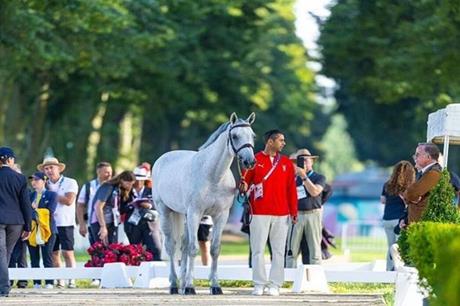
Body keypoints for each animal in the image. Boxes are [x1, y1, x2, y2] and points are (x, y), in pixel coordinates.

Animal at [153, 113, 256, 294]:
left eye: (253, 136)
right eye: (235, 136)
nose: (249, 161)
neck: (213, 176)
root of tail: (162, 159)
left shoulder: (221, 215)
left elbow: (215, 249)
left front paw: (215, 286)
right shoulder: (195, 213)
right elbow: (193, 249)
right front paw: (190, 287)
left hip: (183, 215)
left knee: (184, 245)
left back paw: (181, 284)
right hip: (165, 212)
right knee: (172, 246)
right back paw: (174, 285)